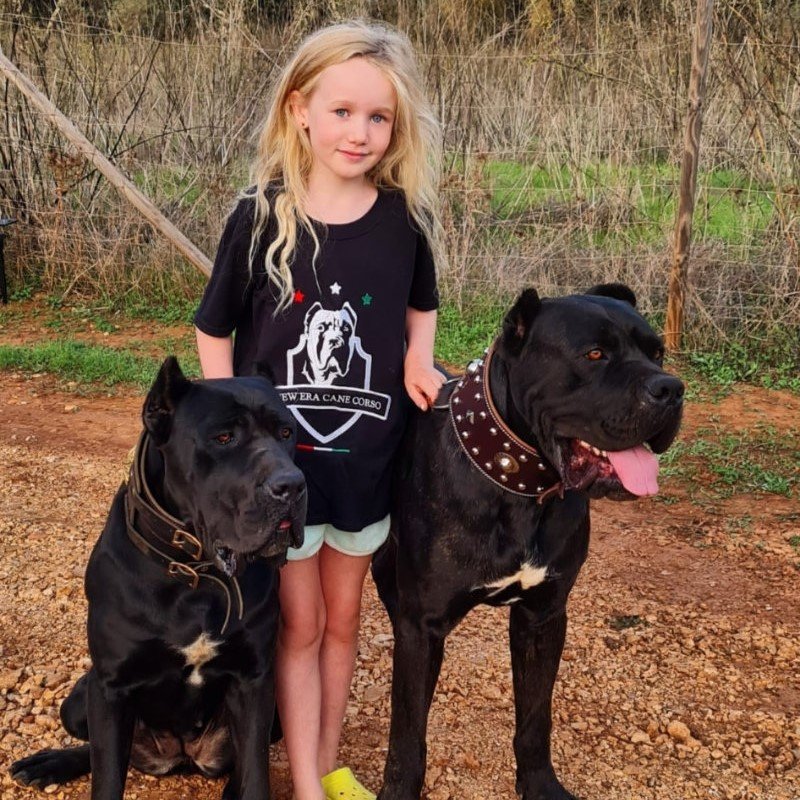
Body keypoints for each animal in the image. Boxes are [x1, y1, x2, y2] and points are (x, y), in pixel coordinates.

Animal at [10, 358, 308, 800]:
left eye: (287, 433)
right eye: (224, 437)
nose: (292, 485)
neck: (196, 575)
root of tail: (180, 754)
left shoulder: (255, 680)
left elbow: (256, 773)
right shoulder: (110, 688)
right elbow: (106, 775)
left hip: (273, 713)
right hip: (78, 699)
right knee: (95, 747)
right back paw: (50, 763)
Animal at [374, 284, 680, 796]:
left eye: (657, 353)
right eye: (594, 354)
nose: (672, 389)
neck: (517, 482)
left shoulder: (543, 617)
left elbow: (536, 718)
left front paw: (540, 785)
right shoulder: (423, 626)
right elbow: (407, 732)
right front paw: (398, 790)